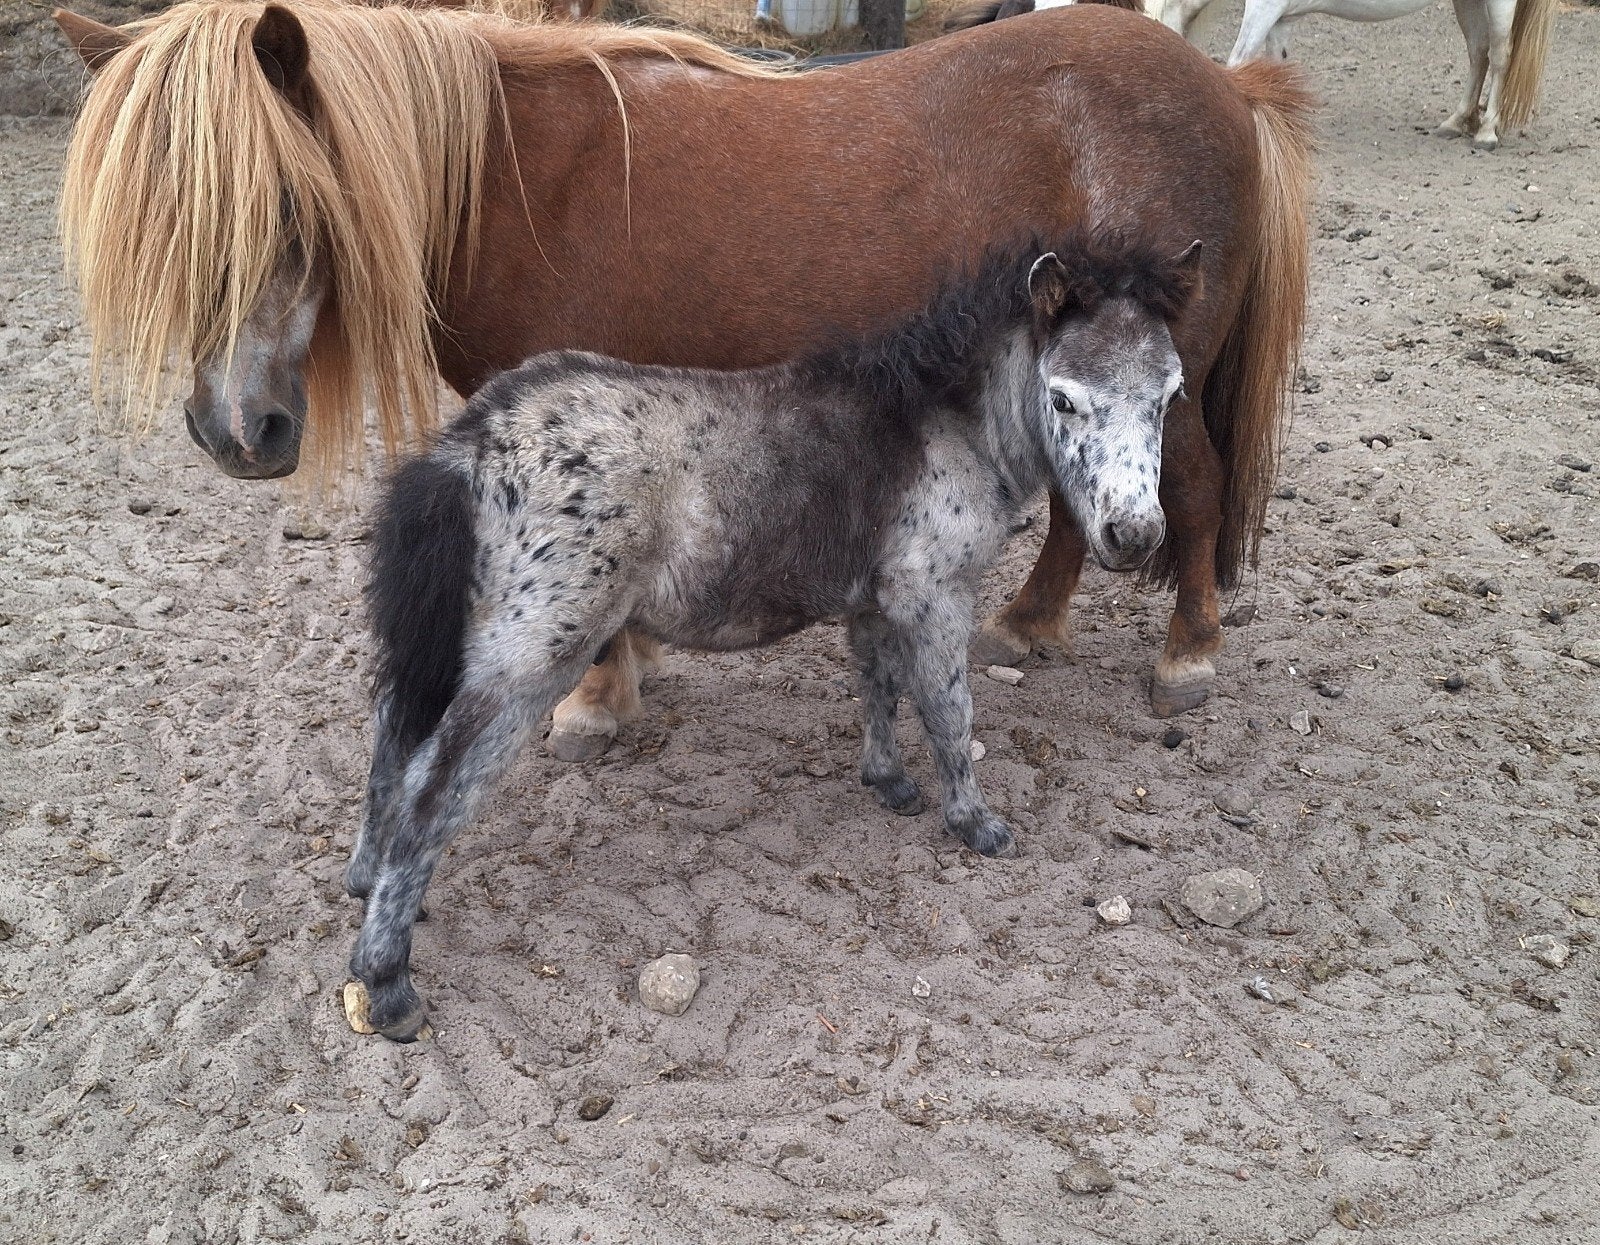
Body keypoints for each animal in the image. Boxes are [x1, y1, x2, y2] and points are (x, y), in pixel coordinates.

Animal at [55, 0, 1313, 760]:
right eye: (159, 224)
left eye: (285, 201)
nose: (236, 430)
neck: (510, 181)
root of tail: (1222, 84)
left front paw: (593, 702)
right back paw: (1026, 624)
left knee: (1192, 489)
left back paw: (1185, 657)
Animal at [354, 233, 1195, 1041]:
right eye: (1064, 397)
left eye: (1171, 394)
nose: (1133, 535)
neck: (939, 421)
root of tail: (469, 443)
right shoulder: (934, 596)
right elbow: (950, 712)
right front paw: (976, 823)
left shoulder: (873, 600)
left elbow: (879, 686)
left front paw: (889, 782)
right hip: (531, 653)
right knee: (433, 784)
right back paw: (387, 983)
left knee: (393, 736)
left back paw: (367, 884)